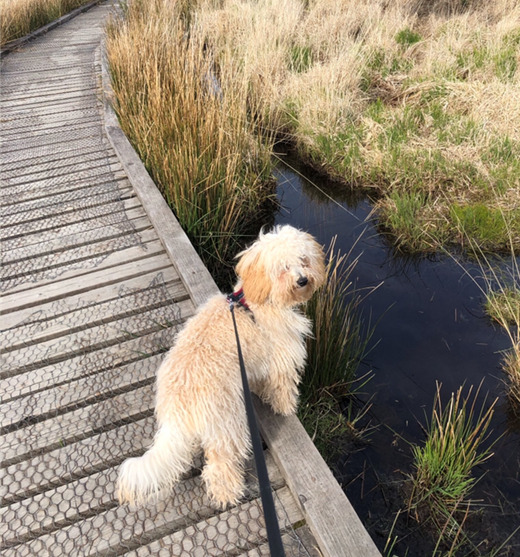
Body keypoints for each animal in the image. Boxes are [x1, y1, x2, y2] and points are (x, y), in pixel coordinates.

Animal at [118, 224, 324, 506]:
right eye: (282, 267)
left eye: (303, 260)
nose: (303, 280)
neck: (256, 301)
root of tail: (177, 408)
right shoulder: (282, 358)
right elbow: (283, 388)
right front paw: (287, 408)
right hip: (229, 423)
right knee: (218, 466)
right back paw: (229, 494)